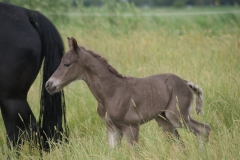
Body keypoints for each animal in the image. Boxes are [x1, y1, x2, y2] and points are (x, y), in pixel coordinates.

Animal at [45, 37, 210, 148]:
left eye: (67, 64)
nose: (48, 85)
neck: (110, 92)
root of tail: (185, 82)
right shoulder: (113, 129)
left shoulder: (131, 127)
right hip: (163, 120)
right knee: (180, 143)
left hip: (176, 116)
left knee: (204, 129)